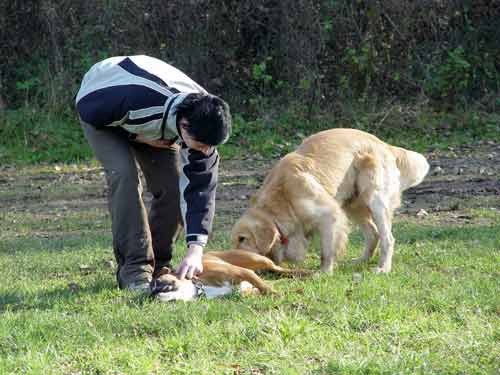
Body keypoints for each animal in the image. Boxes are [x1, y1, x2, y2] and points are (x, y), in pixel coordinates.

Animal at [152, 250, 308, 302]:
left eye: (158, 281)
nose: (153, 292)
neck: (200, 286)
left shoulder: (244, 272)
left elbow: (264, 287)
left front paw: (276, 294)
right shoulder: (245, 291)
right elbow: (261, 288)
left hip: (257, 259)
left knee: (276, 268)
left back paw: (305, 272)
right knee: (276, 276)